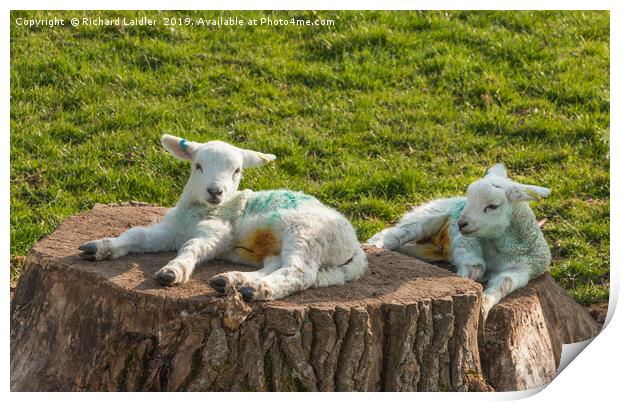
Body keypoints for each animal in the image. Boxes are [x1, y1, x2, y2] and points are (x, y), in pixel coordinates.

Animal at [77, 135, 368, 302]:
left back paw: (258, 290)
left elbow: (192, 247)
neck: (200, 211)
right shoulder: (171, 230)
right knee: (276, 263)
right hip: (288, 246)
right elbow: (137, 233)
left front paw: (173, 271)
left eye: (237, 170)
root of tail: (356, 248)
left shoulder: (218, 232)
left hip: (307, 234)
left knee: (299, 273)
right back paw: (234, 281)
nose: (215, 191)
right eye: (198, 166)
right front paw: (101, 247)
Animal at [366, 163, 548, 318]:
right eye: (470, 198)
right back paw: (373, 246)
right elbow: (476, 266)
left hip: (429, 249)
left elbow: (504, 283)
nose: (461, 223)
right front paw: (465, 284)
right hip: (428, 214)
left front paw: (484, 306)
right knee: (396, 234)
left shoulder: (523, 269)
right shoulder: (465, 240)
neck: (498, 246)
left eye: (493, 206)